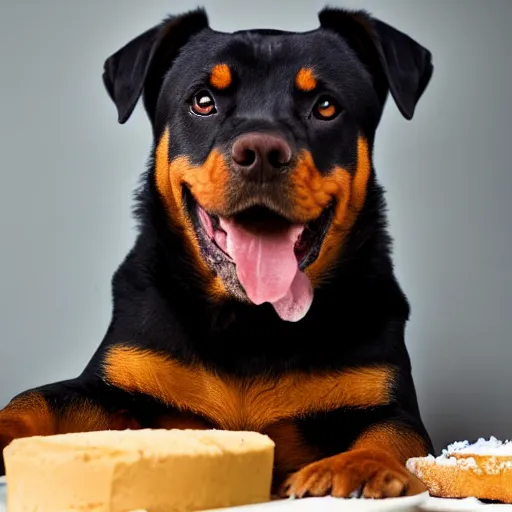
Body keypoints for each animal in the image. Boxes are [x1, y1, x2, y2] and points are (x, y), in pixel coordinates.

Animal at [0, 5, 434, 500]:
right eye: (203, 101)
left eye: (325, 106)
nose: (261, 151)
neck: (249, 323)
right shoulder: (112, 380)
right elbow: (36, 399)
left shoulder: (384, 396)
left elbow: (395, 434)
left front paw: (359, 465)